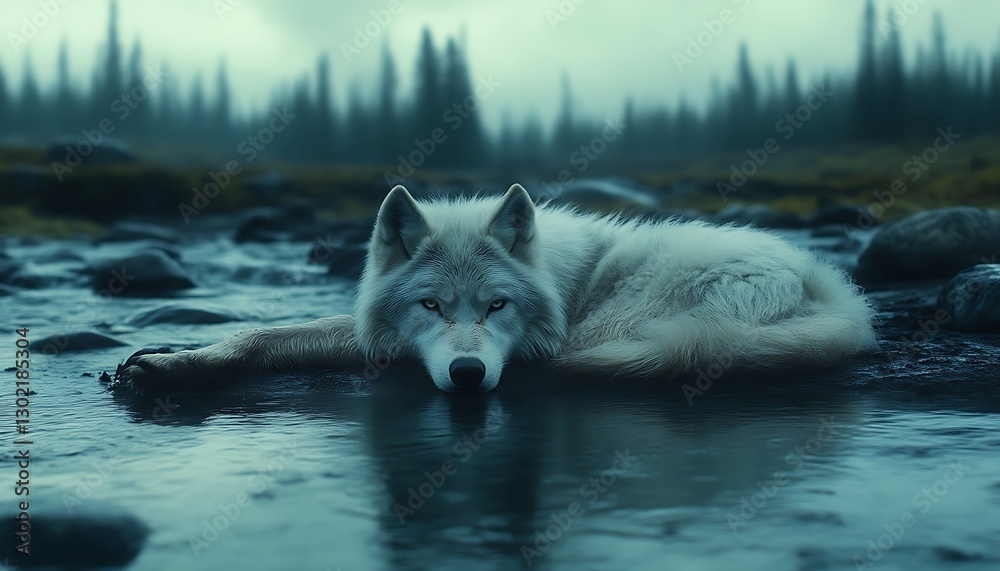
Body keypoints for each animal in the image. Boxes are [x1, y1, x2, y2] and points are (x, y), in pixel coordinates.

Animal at [116, 183, 876, 392]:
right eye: (430, 305)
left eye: (497, 306)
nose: (467, 372)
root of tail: (838, 298)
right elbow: (265, 332)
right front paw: (175, 361)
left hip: (616, 324)